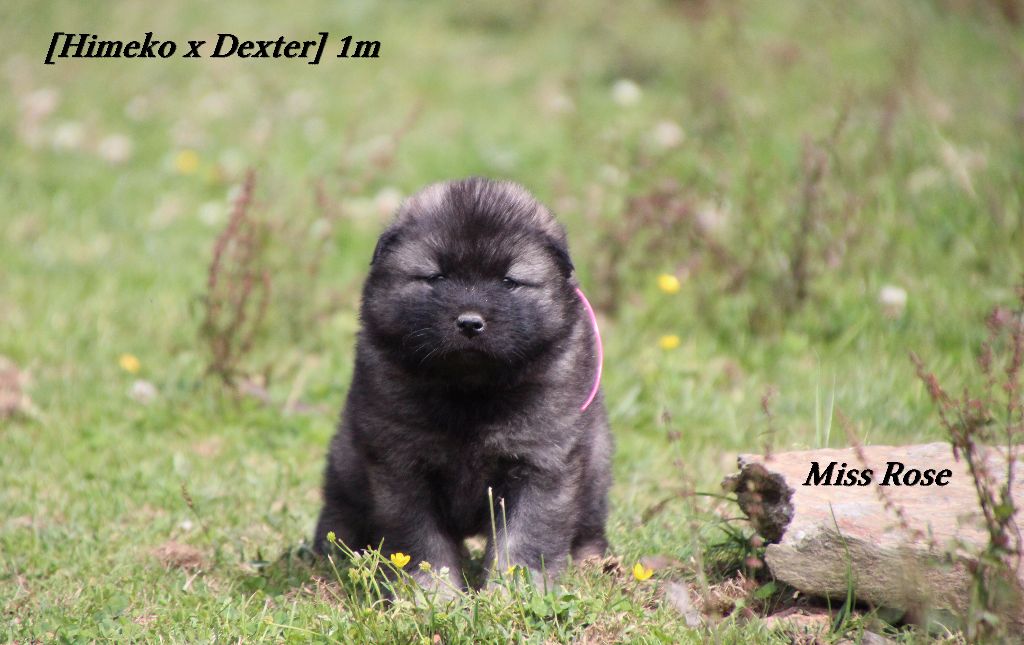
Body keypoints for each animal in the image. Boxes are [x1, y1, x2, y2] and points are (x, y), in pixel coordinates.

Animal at [314, 177, 612, 589]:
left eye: (508, 281)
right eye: (436, 277)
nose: (470, 322)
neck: (470, 390)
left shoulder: (541, 462)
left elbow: (524, 537)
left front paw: (514, 592)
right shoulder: (402, 466)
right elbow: (422, 543)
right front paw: (432, 593)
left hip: (596, 462)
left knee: (589, 523)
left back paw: (593, 562)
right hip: (347, 460)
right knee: (339, 509)